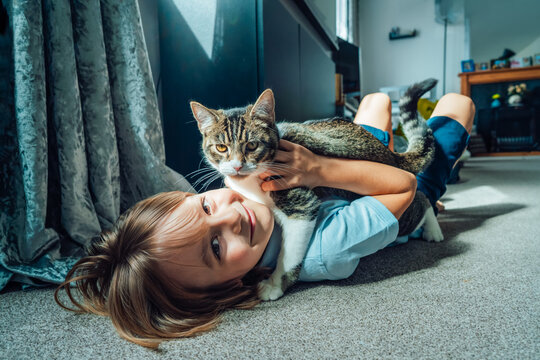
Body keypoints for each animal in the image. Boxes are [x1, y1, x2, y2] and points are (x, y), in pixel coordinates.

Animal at [192, 79, 440, 300]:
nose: (236, 166)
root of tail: (391, 154)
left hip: (396, 211)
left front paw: (275, 284)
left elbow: (289, 254)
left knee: (419, 194)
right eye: (221, 147)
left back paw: (433, 229)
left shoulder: (301, 204)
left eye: (252, 145)